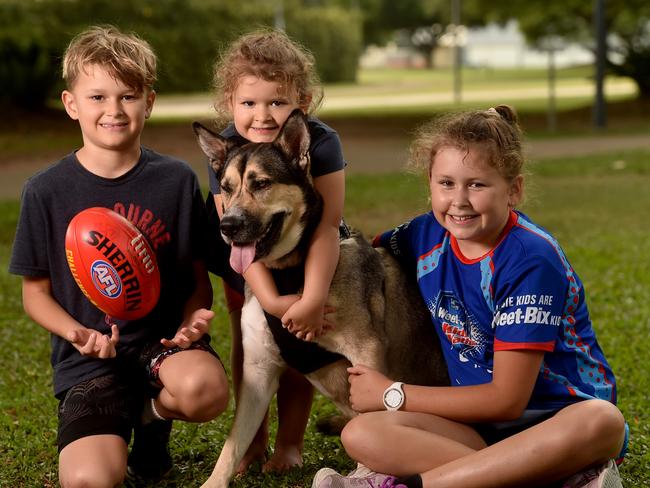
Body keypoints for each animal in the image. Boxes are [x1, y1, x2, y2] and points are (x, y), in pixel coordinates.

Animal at [191, 111, 446, 488]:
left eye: (261, 183)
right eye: (225, 187)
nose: (228, 226)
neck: (289, 274)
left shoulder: (366, 353)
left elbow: (372, 418)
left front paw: (370, 474)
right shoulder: (257, 373)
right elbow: (234, 442)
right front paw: (214, 482)